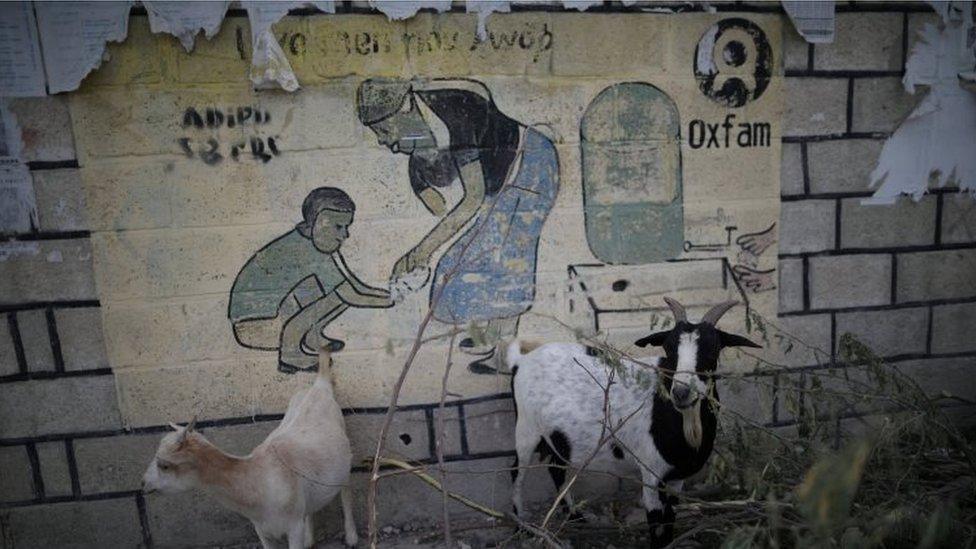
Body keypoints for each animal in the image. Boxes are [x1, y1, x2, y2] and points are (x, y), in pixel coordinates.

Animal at [141, 348, 358, 544]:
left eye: (164, 465)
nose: (143, 484)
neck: (256, 479)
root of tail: (319, 386)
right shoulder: (261, 529)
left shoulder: (293, 526)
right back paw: (311, 540)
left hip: (344, 457)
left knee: (346, 491)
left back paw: (351, 537)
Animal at [510, 300, 764, 548]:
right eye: (668, 349)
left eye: (713, 350)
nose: (681, 392)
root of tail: (521, 361)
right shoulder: (651, 473)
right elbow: (656, 523)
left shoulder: (676, 478)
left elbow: (670, 518)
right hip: (526, 429)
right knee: (517, 472)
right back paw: (520, 526)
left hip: (558, 436)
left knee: (556, 467)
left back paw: (575, 517)